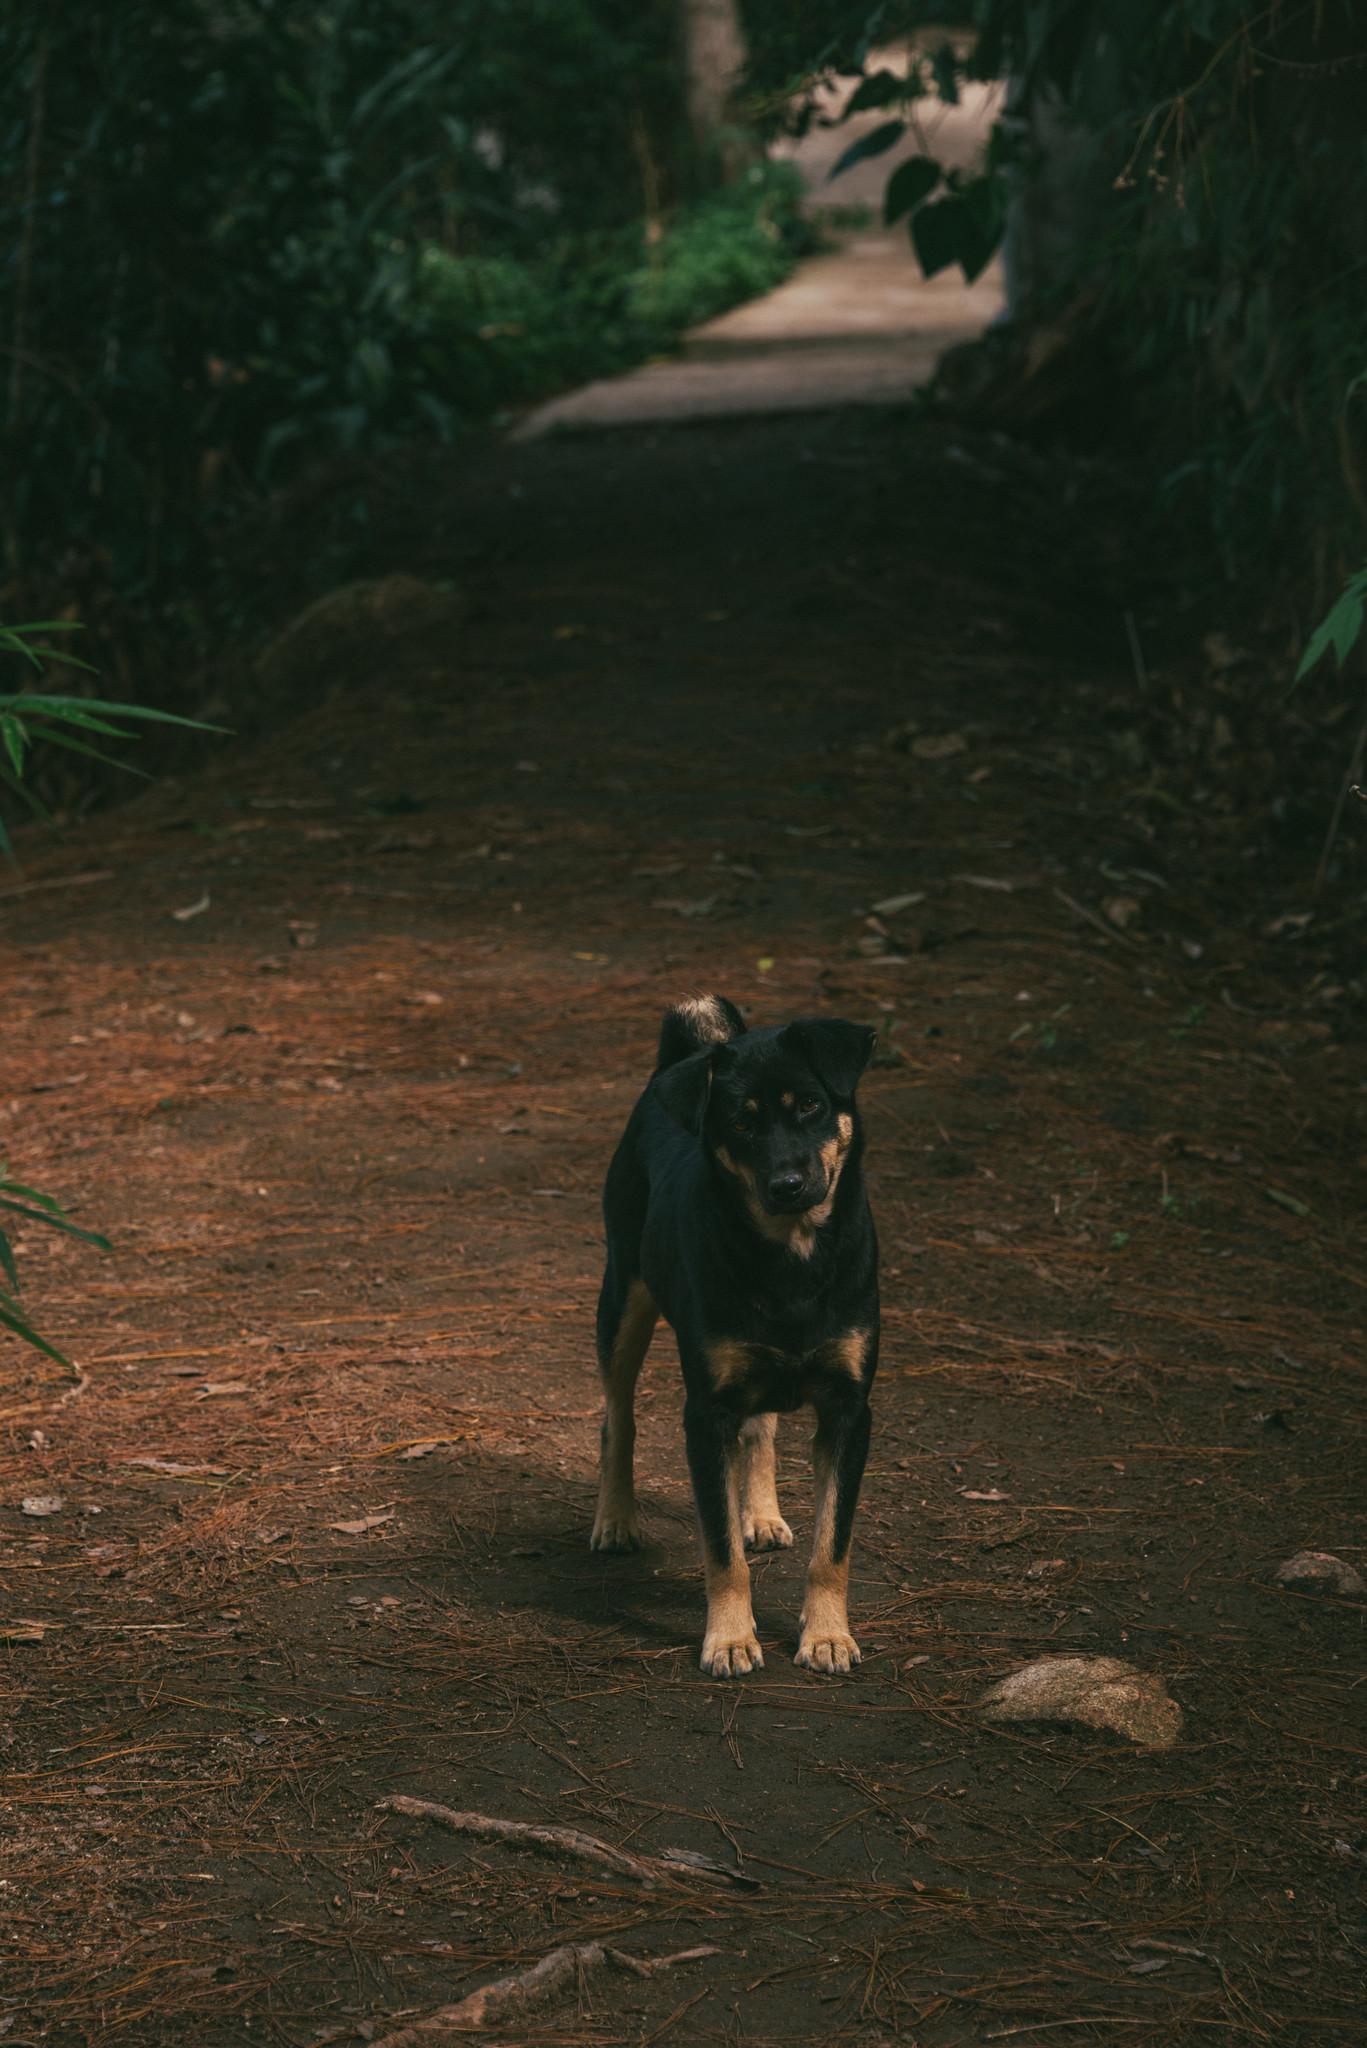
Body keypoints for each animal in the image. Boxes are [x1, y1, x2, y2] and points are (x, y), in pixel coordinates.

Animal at [594, 991, 881, 1679]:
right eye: (741, 1124)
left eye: (811, 1105)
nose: (788, 1184)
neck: (793, 1258)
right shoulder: (707, 1413)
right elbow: (721, 1551)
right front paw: (728, 1638)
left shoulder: (849, 1409)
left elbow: (832, 1544)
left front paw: (827, 1635)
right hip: (623, 1300)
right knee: (618, 1416)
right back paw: (615, 1517)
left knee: (763, 1429)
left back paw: (764, 1514)